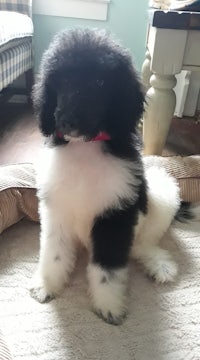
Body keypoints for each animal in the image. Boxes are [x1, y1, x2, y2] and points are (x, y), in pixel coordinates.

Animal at [31, 28, 183, 326]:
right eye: (63, 80)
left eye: (100, 82)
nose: (69, 121)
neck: (85, 148)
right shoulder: (56, 209)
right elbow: (54, 254)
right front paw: (47, 285)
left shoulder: (115, 216)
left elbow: (107, 269)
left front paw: (109, 306)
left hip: (162, 191)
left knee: (143, 244)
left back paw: (159, 264)